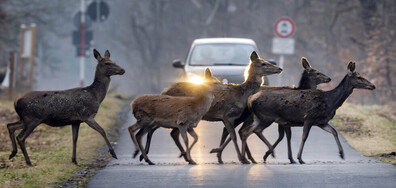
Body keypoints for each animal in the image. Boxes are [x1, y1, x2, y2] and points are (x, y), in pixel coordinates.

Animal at [243, 61, 376, 163]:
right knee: (254, 131)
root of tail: (250, 100)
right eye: (359, 77)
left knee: (246, 132)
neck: (331, 102)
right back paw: (267, 153)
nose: (373, 86)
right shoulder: (309, 118)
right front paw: (299, 158)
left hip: (259, 118)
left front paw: (342, 154)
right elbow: (304, 137)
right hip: (267, 117)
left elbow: (334, 132)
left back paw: (256, 156)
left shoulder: (321, 122)